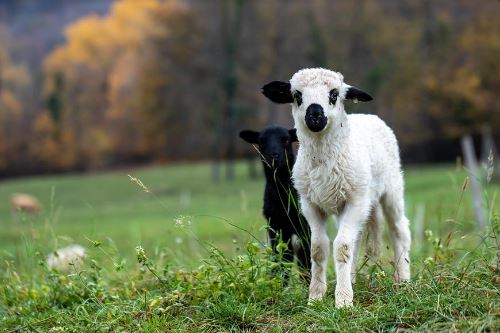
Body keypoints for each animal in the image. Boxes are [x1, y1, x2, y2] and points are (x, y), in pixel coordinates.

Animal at [240, 126, 310, 276]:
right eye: (261, 141)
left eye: (286, 140)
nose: (274, 156)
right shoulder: (275, 225)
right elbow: (280, 258)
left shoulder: (304, 226)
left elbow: (306, 258)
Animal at [262, 67, 410, 306]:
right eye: (297, 95)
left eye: (334, 94)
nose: (314, 115)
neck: (324, 160)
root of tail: (367, 116)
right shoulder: (310, 206)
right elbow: (318, 249)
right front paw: (316, 297)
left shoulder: (355, 201)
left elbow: (341, 248)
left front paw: (343, 301)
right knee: (357, 240)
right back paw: (354, 279)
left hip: (391, 188)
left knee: (399, 230)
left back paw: (403, 280)